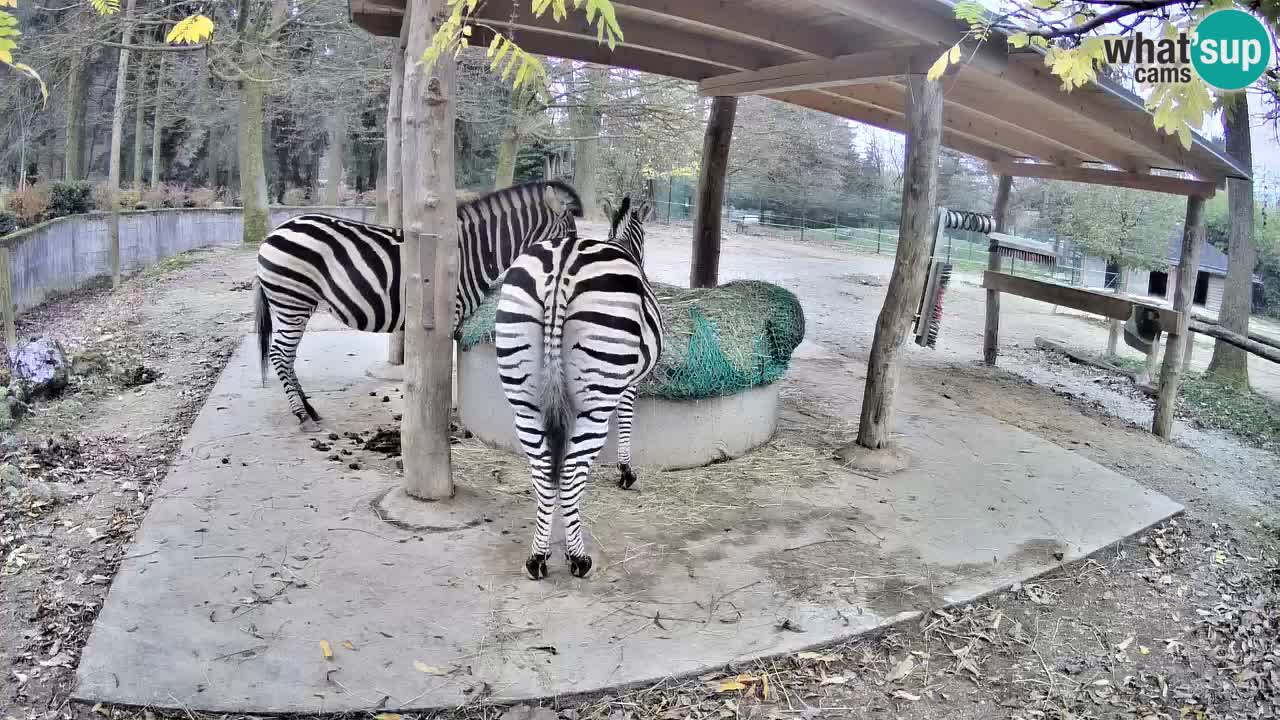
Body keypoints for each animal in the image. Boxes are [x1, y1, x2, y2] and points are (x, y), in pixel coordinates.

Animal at [254, 181, 583, 428]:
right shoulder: (449, 316)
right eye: (568, 237)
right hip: (291, 301)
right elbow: (442, 374)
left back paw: (309, 409)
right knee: (280, 354)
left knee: (287, 355)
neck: (475, 252)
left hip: (297, 304)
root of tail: (275, 231)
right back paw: (301, 414)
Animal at [494, 195, 662, 580]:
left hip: (524, 399)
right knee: (569, 474)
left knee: (544, 471)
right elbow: (627, 420)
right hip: (595, 402)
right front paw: (626, 471)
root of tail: (561, 270)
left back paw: (537, 557)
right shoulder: (628, 382)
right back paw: (578, 558)